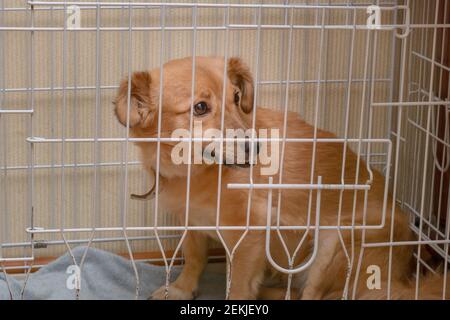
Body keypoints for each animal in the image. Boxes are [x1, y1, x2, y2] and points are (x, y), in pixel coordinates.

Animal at [114, 56, 444, 298]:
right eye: (200, 107)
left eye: (237, 98)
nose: (256, 147)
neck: (196, 173)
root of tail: (402, 275)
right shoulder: (191, 221)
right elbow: (196, 258)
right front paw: (182, 289)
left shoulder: (251, 234)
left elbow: (238, 287)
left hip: (337, 242)